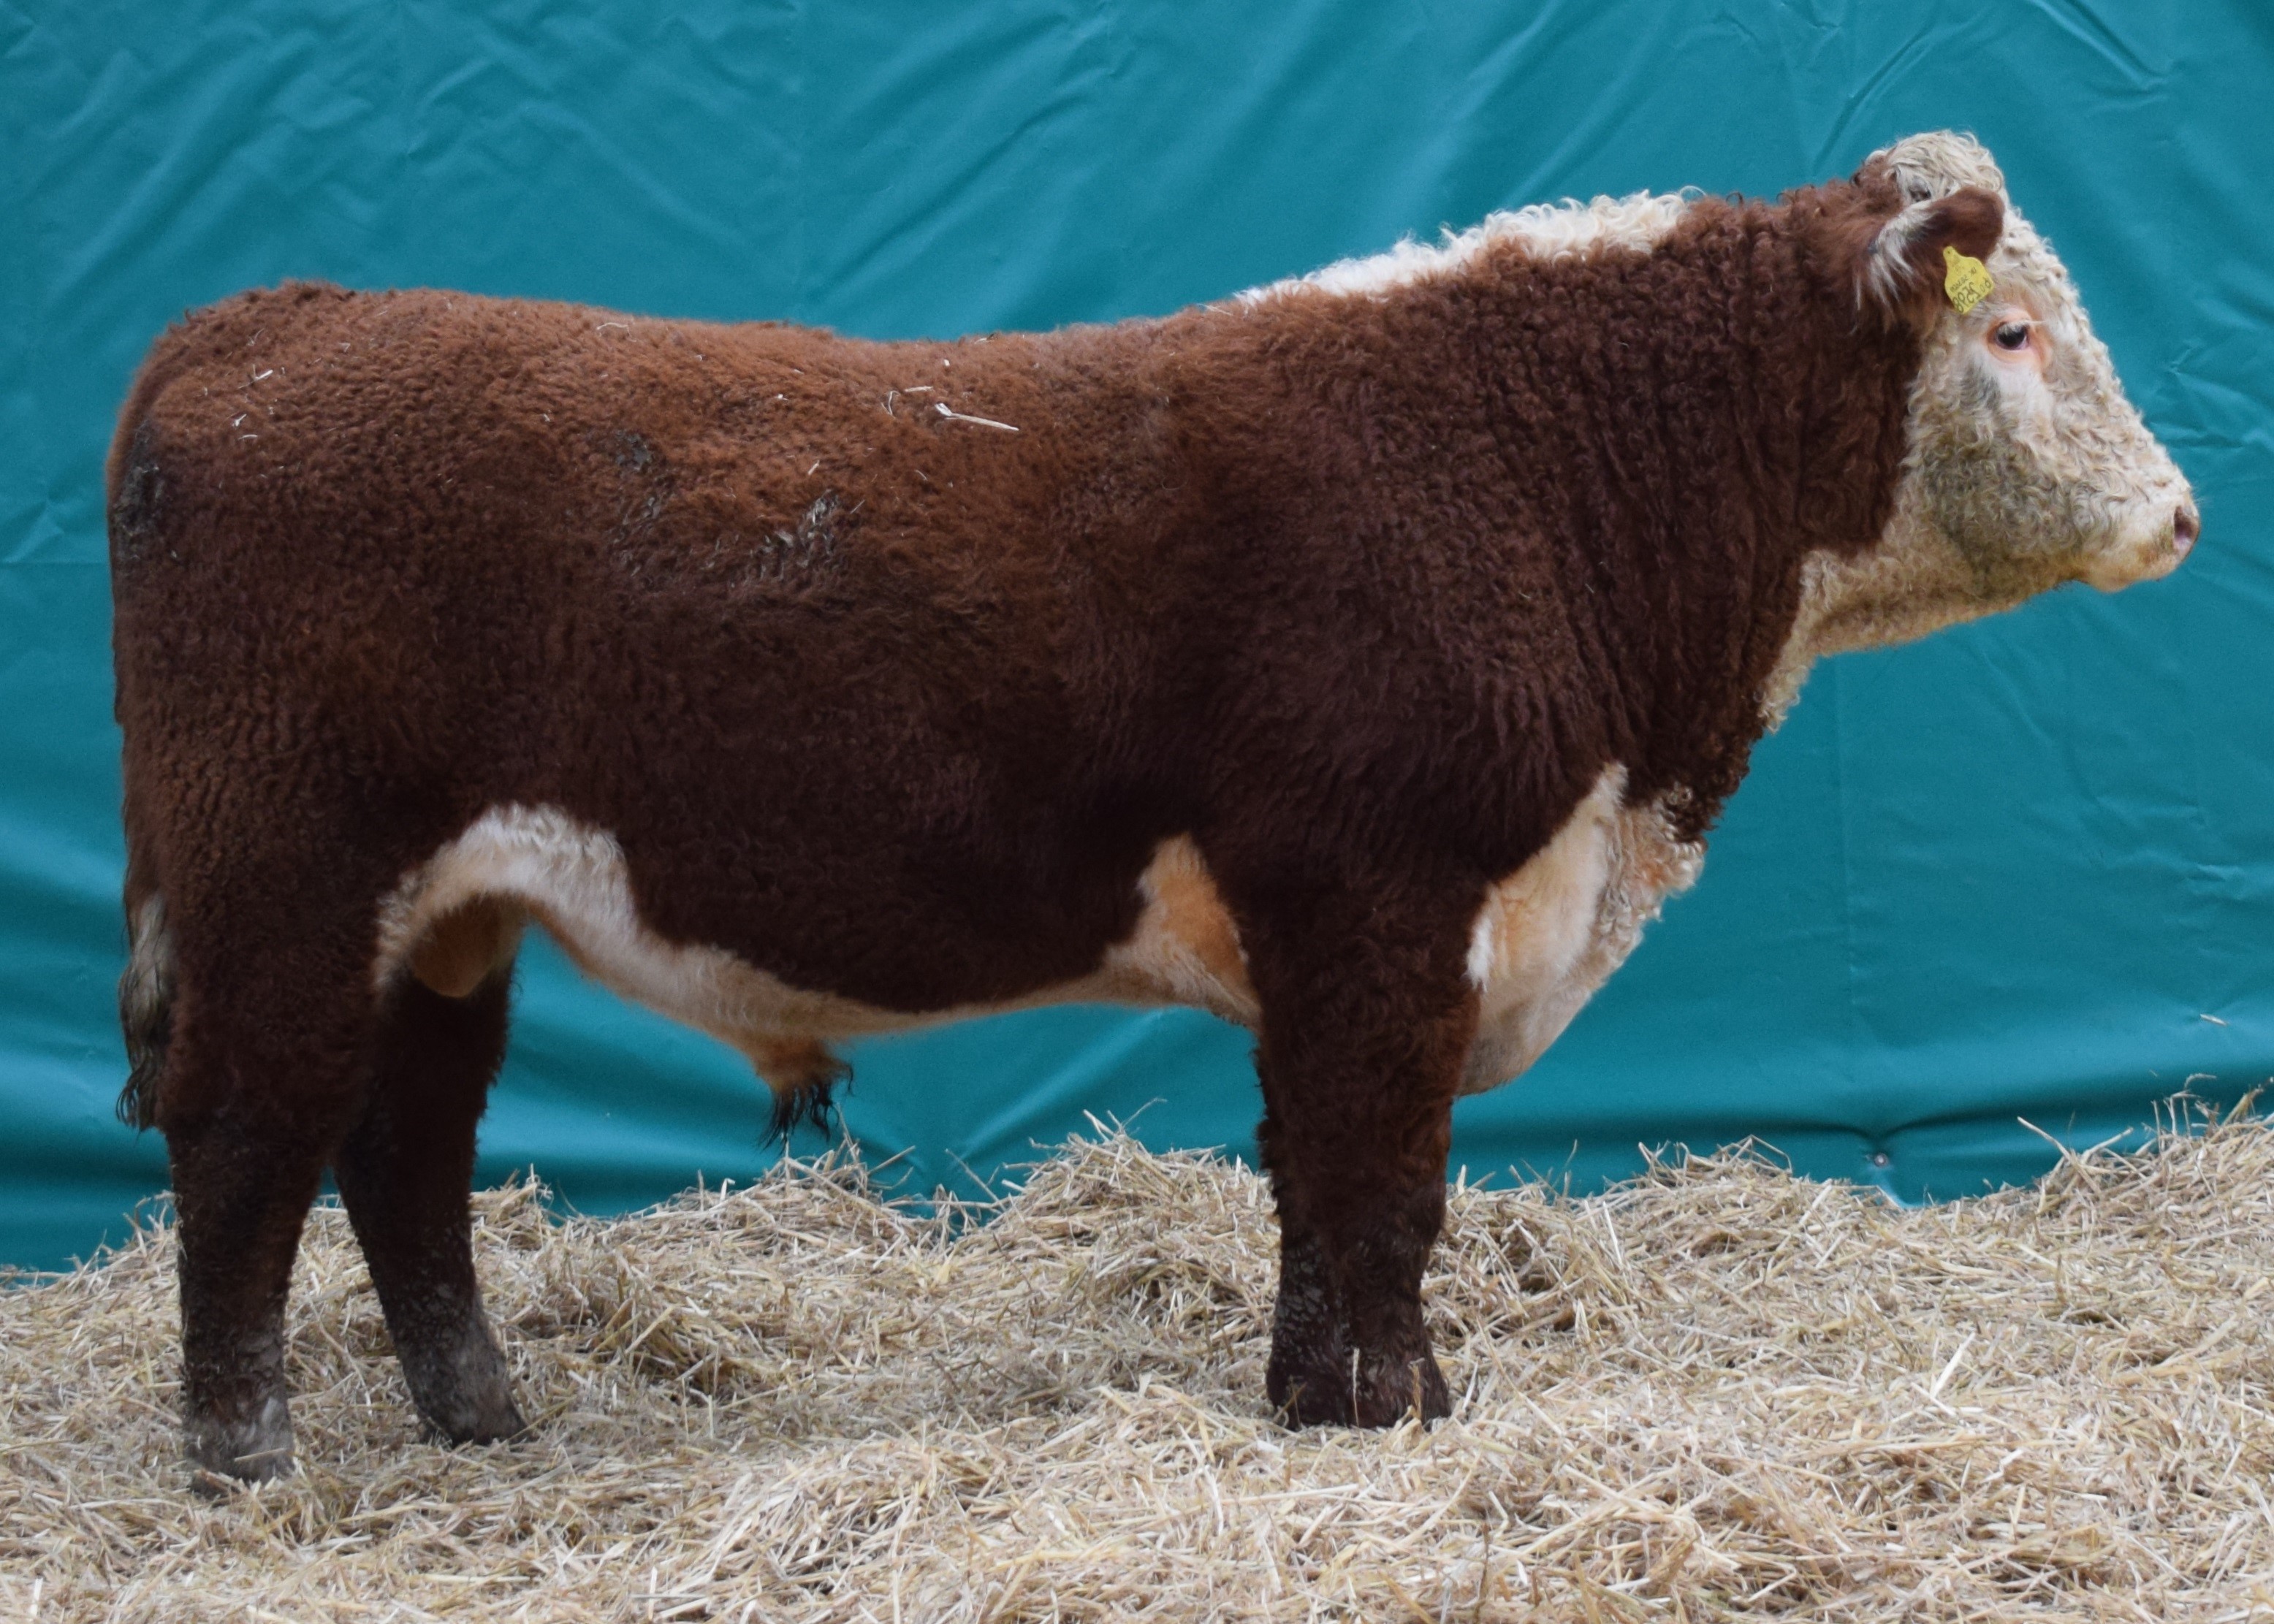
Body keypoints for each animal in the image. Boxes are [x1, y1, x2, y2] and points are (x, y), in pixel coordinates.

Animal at [107, 131, 2195, 1482]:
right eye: (2008, 332)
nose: (2179, 511)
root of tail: (264, 322)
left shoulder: (1331, 935)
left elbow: (1309, 1175)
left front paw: (1309, 1396)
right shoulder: (1383, 896)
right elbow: (1381, 1176)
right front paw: (1400, 1412)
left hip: (441, 917)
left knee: (408, 1142)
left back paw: (481, 1418)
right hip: (282, 871)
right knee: (253, 1130)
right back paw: (243, 1453)